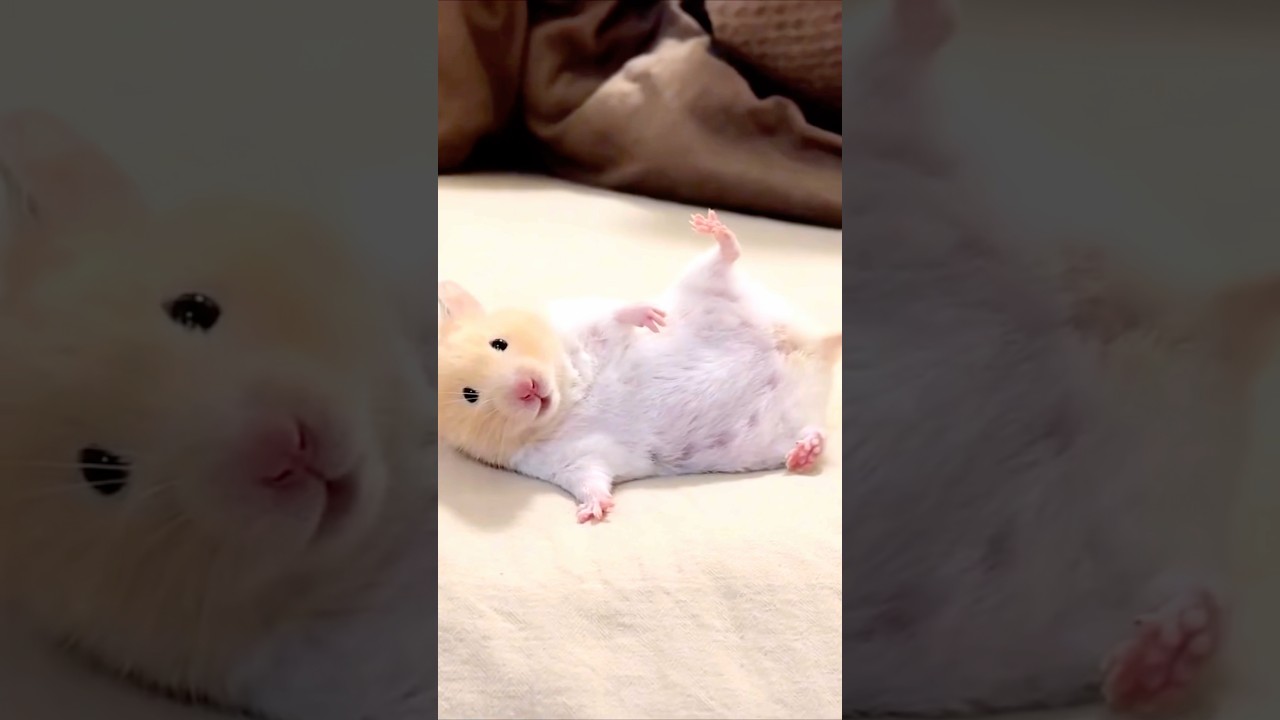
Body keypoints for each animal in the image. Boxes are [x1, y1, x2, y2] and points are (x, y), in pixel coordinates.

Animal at [437, 210, 842, 523]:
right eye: (470, 395)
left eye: (499, 343)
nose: (529, 388)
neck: (568, 399)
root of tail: (815, 345)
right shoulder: (562, 461)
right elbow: (590, 480)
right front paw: (594, 512)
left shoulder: (579, 325)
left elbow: (613, 317)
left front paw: (647, 316)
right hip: (780, 430)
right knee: (814, 433)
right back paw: (804, 453)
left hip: (710, 287)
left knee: (725, 259)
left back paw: (712, 228)